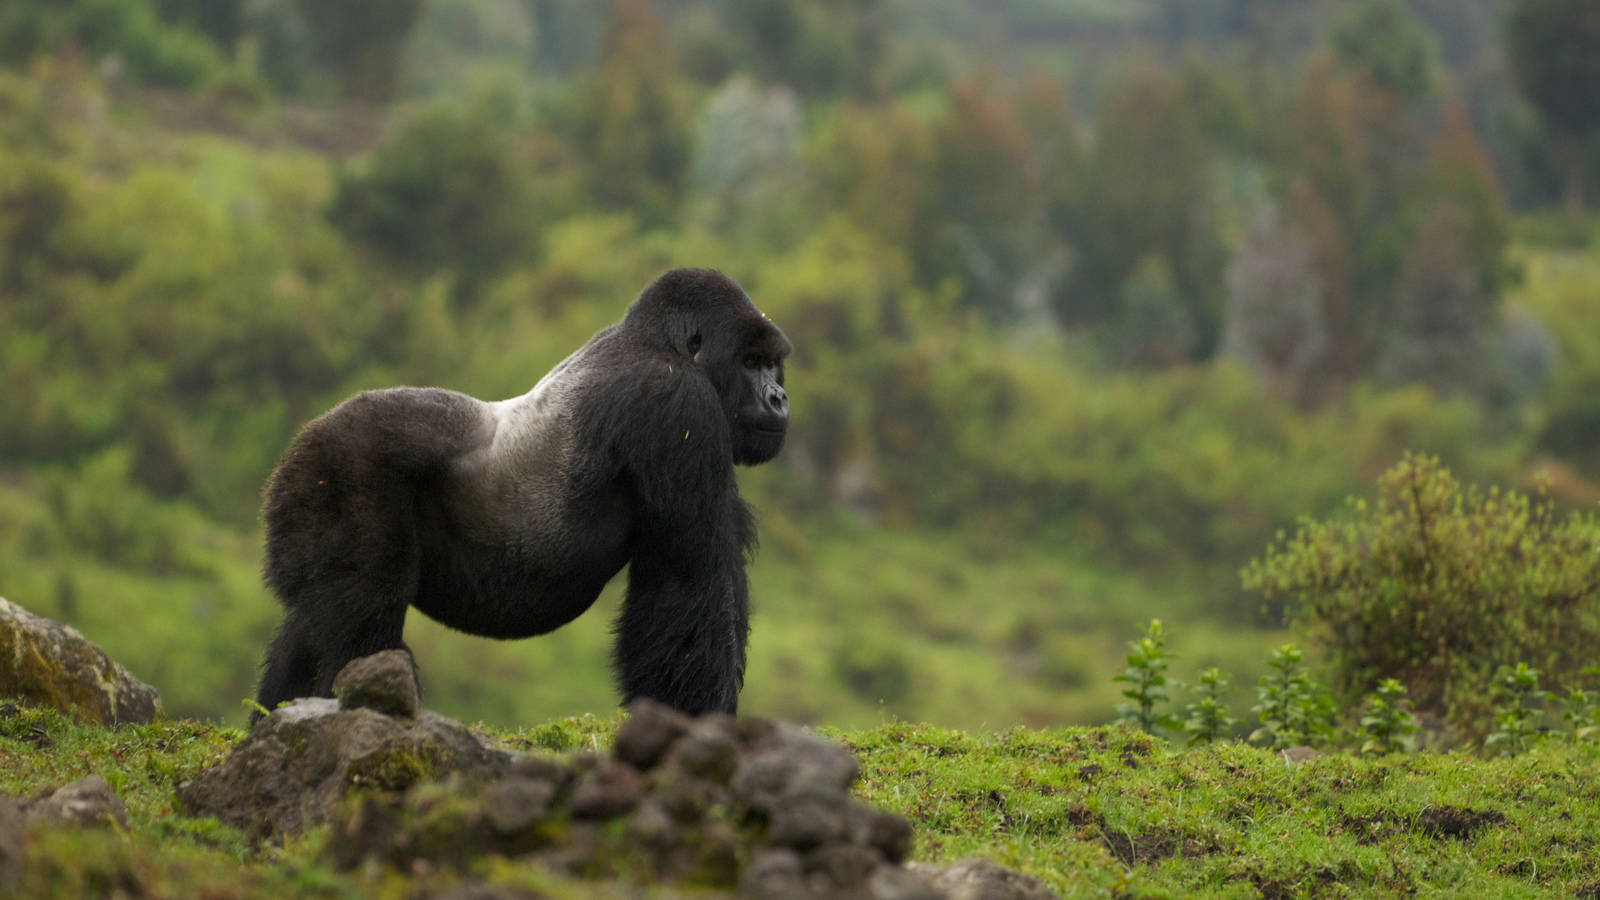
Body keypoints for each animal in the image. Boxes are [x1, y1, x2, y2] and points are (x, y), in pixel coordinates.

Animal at [251, 265, 793, 714]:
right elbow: (686, 582)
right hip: (340, 471)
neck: (658, 343)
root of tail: (299, 446)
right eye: (750, 362)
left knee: (309, 625)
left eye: (772, 363)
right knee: (363, 626)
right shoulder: (678, 406)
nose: (779, 398)